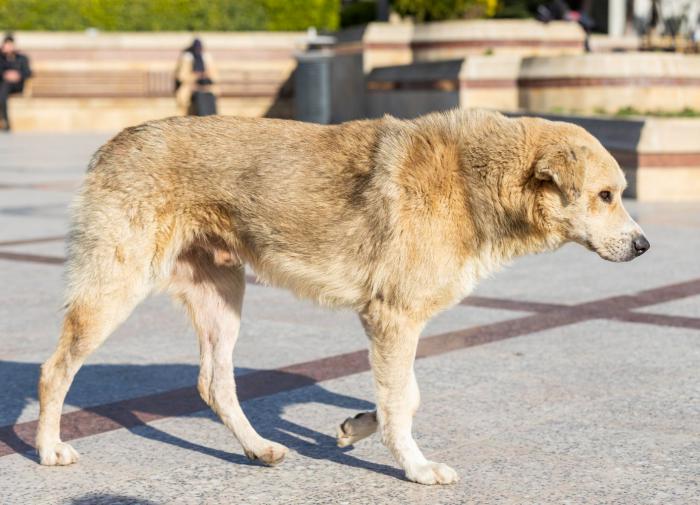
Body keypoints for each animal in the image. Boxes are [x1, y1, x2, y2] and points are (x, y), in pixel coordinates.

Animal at [37, 110, 652, 484]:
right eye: (605, 195)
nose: (645, 245)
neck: (473, 182)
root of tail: (112, 143)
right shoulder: (393, 318)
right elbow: (402, 403)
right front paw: (415, 468)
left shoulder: (394, 323)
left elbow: (405, 397)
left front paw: (357, 426)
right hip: (113, 291)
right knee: (54, 371)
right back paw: (48, 450)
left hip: (222, 295)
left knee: (214, 383)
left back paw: (258, 448)